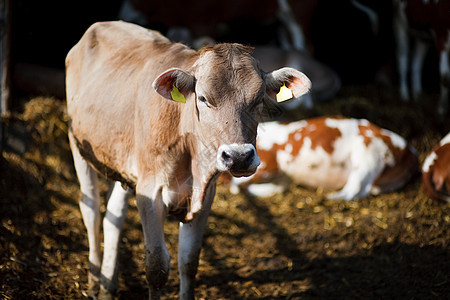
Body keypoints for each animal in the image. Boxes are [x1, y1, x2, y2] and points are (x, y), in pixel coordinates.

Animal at [65, 21, 310, 300]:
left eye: (259, 99)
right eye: (203, 98)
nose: (239, 156)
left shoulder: (204, 195)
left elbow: (189, 262)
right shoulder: (150, 190)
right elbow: (157, 267)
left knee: (113, 217)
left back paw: (108, 285)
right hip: (77, 144)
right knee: (91, 210)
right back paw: (94, 282)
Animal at [230, 116, 420, 199]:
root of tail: (411, 151)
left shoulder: (268, 162)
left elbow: (237, 184)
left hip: (368, 155)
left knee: (355, 190)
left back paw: (328, 197)